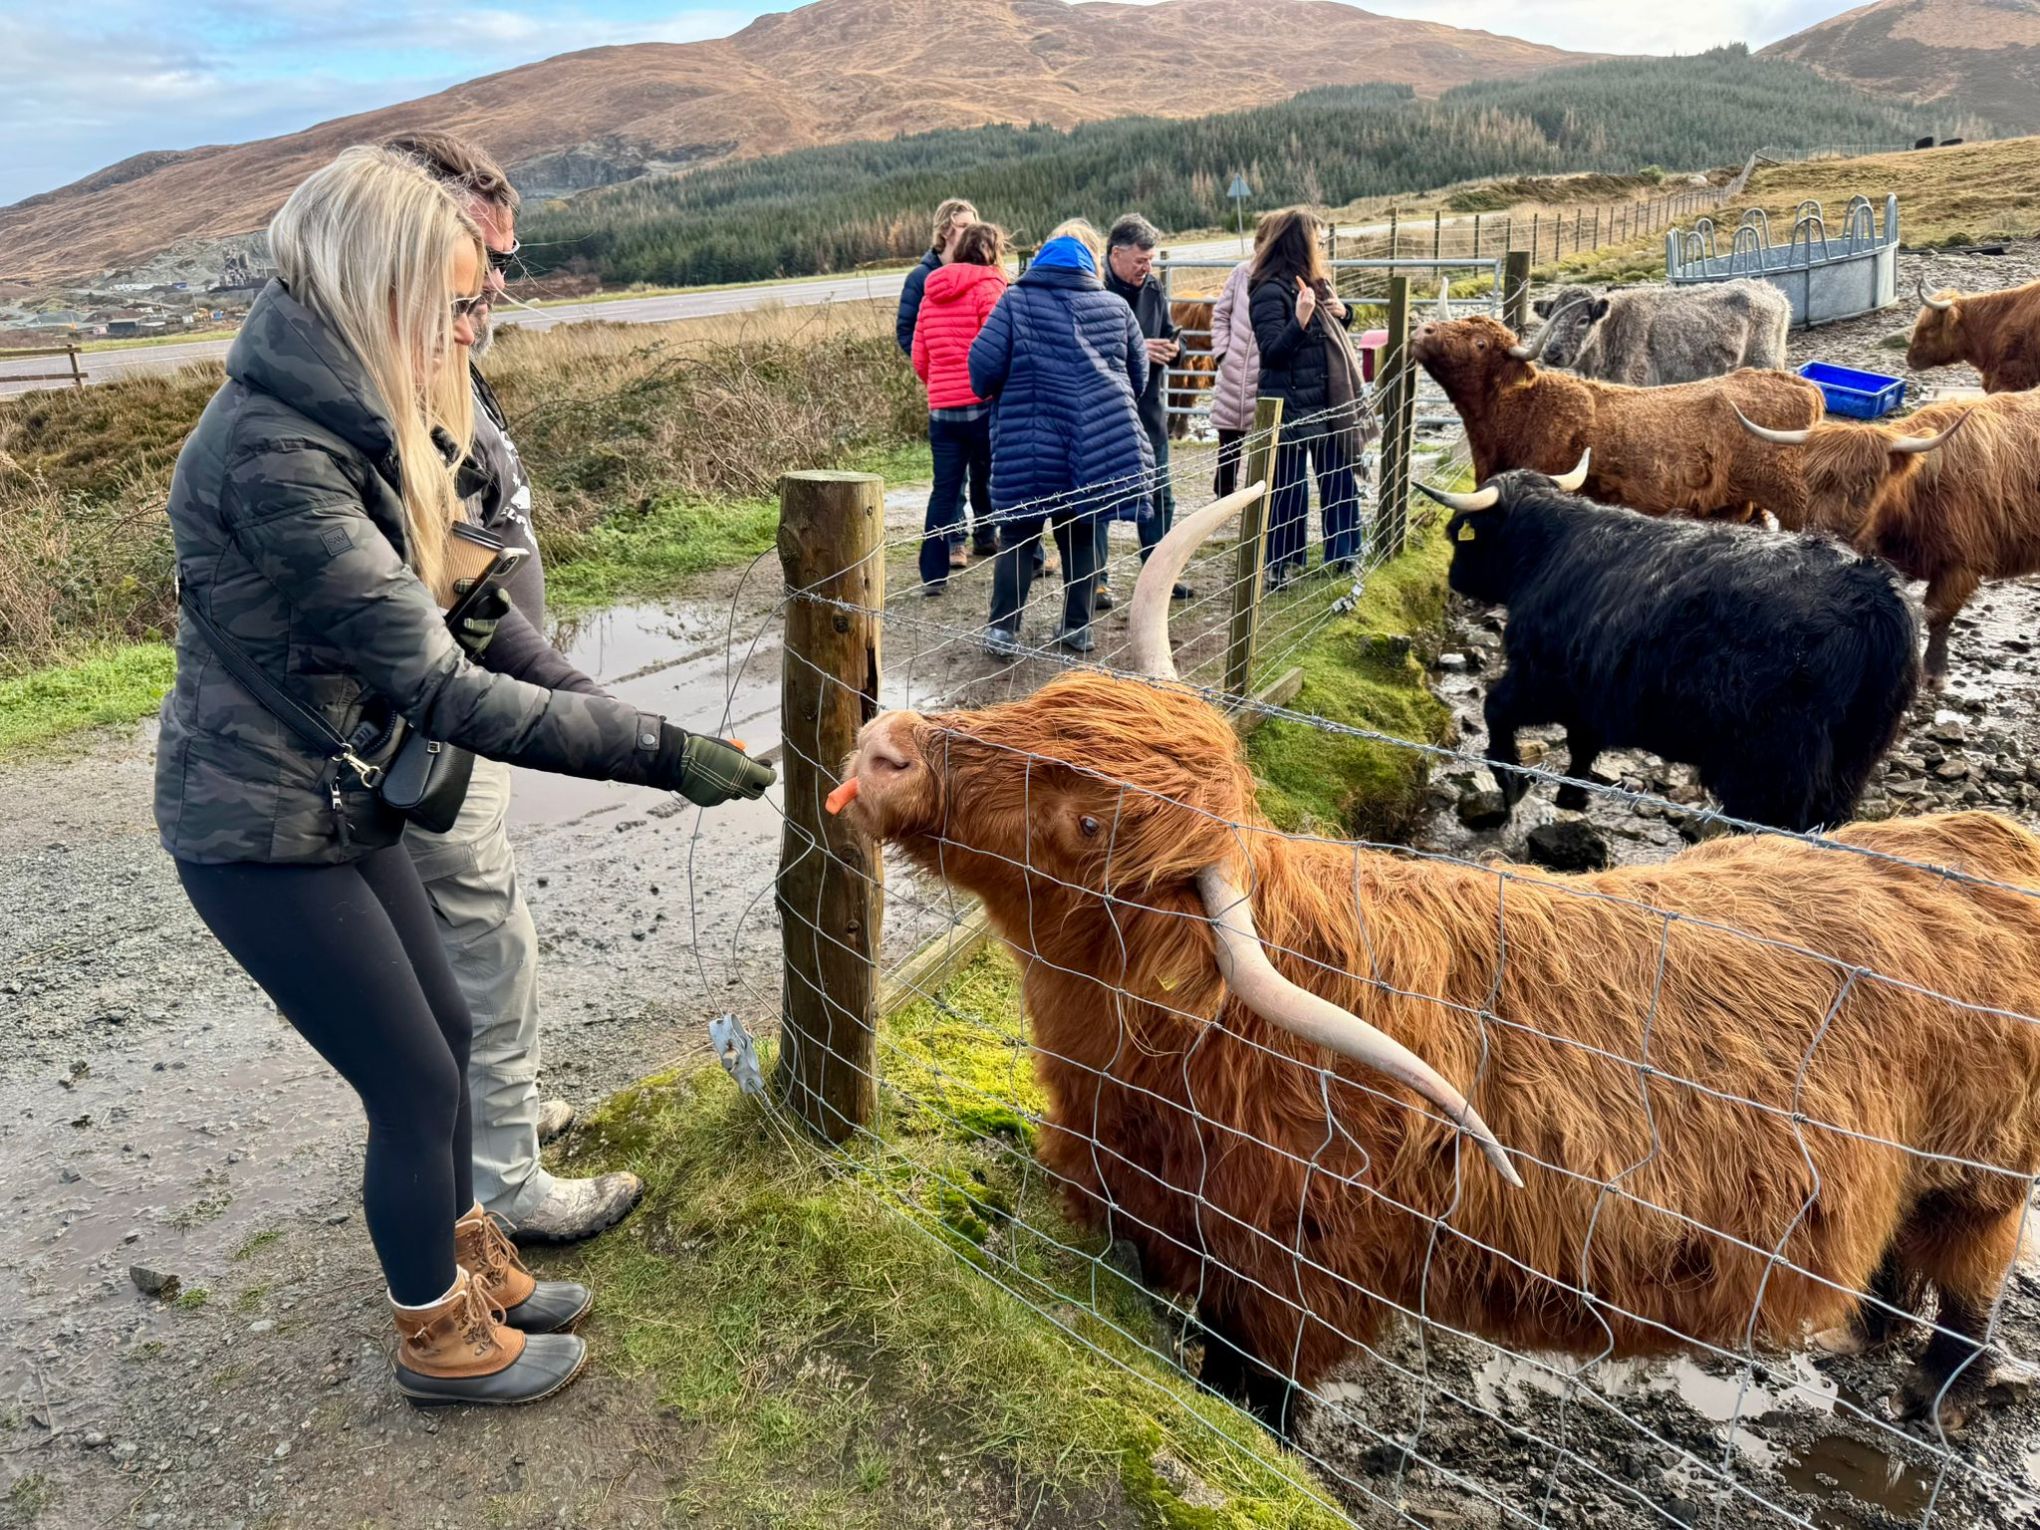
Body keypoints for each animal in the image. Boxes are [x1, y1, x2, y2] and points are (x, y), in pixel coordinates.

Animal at [1421, 453, 1918, 831]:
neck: (1546, 552)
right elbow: (1582, 744)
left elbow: (1496, 709)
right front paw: (1572, 796)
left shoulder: (1541, 678)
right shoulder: (1593, 692)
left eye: (1463, 532)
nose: (1453, 577)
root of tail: (1870, 592)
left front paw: (1510, 783)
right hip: (1852, 757)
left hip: (1773, 761)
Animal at [1736, 393, 2027, 683]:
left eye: (1866, 484)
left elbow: (1938, 614)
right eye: (1810, 479)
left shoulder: (1963, 564)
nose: (1822, 534)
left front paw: (1933, 673)